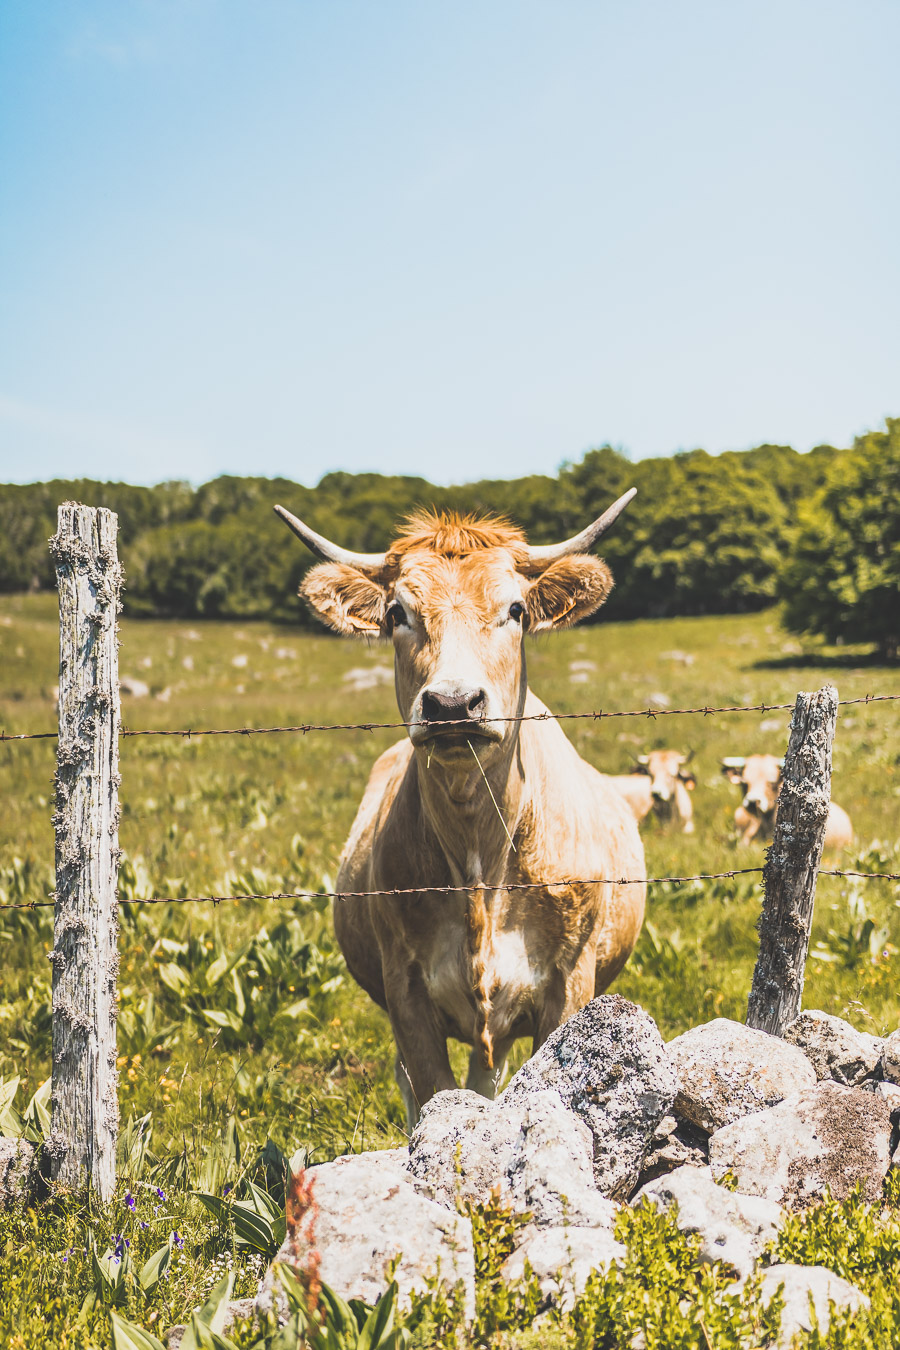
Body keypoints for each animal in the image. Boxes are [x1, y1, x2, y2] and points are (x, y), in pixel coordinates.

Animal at [276, 491, 647, 1123]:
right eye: (397, 614)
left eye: (516, 610)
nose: (452, 705)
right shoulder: (405, 992)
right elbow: (434, 1096)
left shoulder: (570, 982)